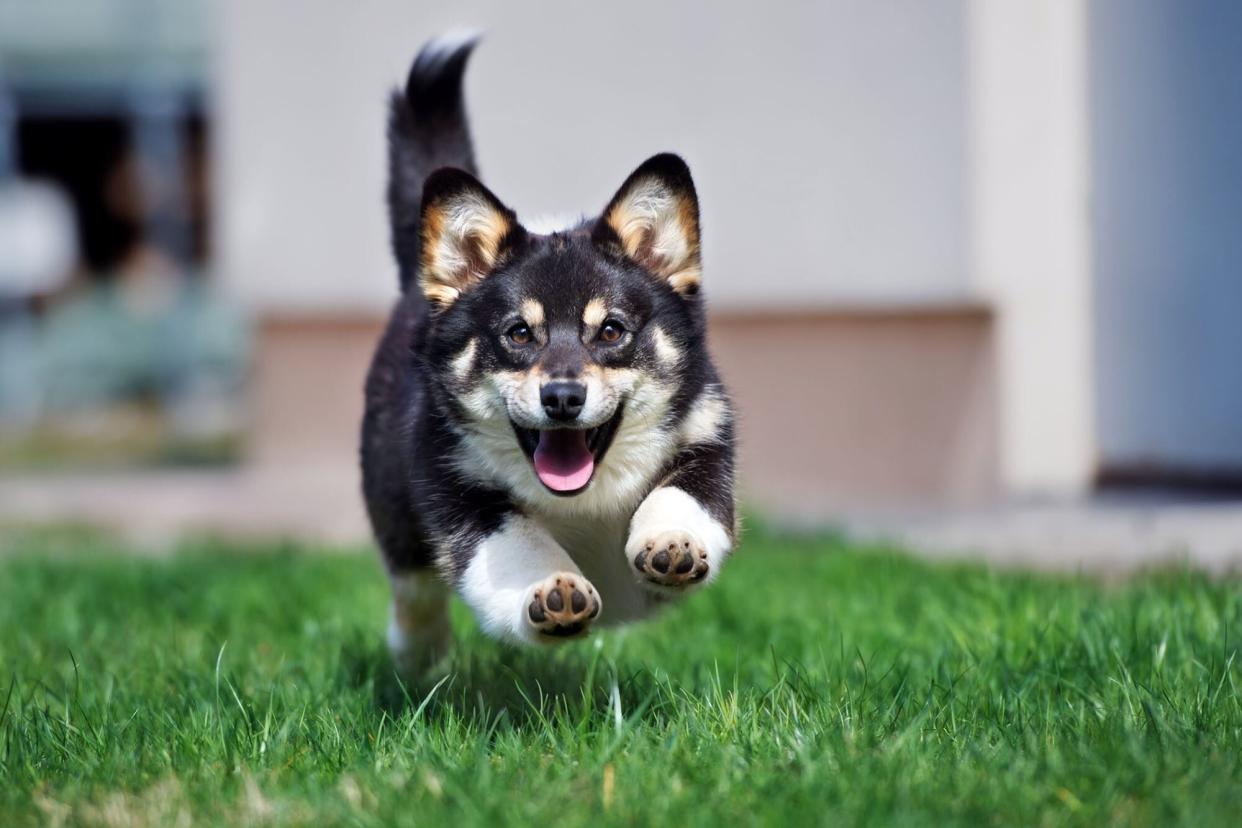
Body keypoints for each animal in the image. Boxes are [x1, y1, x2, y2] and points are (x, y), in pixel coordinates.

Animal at [360, 33, 730, 665]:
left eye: (611, 331)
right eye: (518, 333)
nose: (562, 398)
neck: (581, 498)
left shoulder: (705, 437)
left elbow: (681, 497)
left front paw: (671, 543)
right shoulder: (460, 490)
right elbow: (518, 545)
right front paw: (554, 592)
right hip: (395, 509)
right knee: (414, 590)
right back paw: (417, 654)